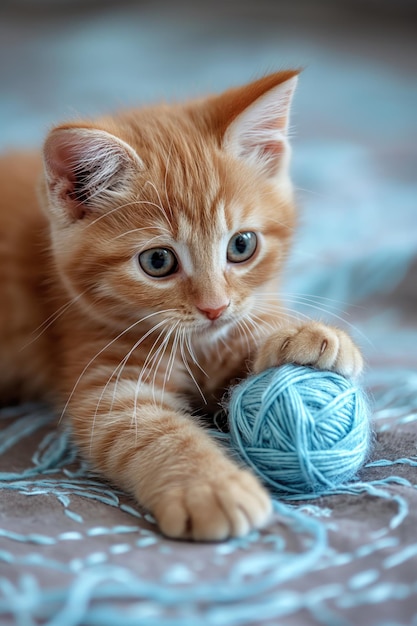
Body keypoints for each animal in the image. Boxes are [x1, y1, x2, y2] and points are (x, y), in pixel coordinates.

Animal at [0, 70, 362, 540]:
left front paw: (301, 333)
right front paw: (210, 487)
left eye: (242, 245)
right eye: (158, 261)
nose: (214, 308)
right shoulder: (108, 384)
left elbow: (246, 337)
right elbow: (149, 430)